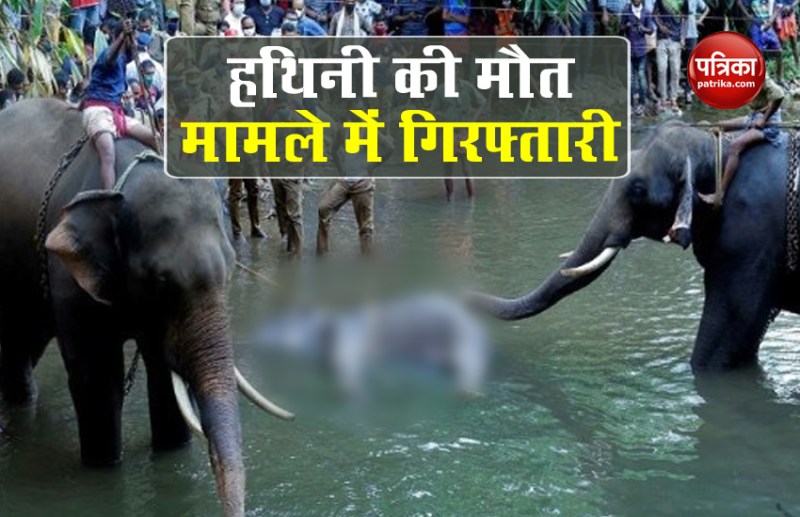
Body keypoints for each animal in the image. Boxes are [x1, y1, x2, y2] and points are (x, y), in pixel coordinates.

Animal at [0, 99, 292, 517]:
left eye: (231, 269)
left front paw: (171, 452)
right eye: (161, 282)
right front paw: (105, 467)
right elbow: (97, 378)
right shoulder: (66, 273)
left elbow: (162, 375)